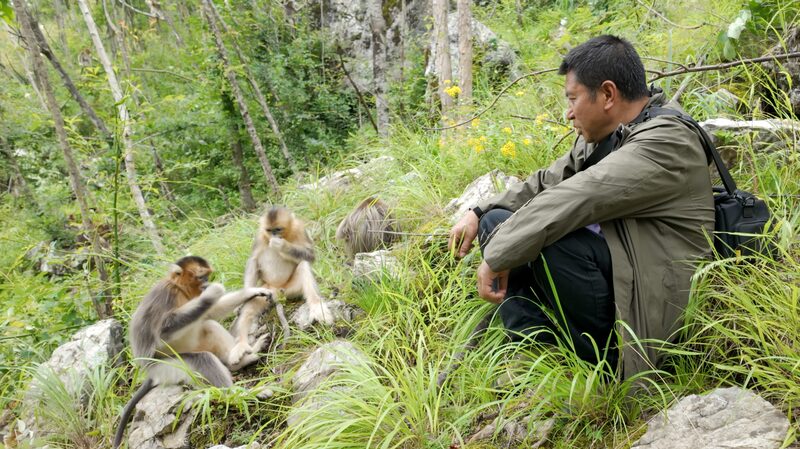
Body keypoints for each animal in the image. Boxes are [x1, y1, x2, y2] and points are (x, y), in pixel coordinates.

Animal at [112, 256, 272, 449]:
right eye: (201, 277)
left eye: (206, 276)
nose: (206, 284)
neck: (180, 290)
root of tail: (150, 374)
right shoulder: (167, 295)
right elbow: (162, 333)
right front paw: (213, 292)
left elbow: (210, 313)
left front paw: (251, 292)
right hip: (166, 367)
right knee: (202, 358)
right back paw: (239, 394)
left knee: (207, 324)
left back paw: (242, 359)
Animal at [228, 207, 333, 366]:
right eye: (269, 230)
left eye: (278, 229)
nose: (274, 235)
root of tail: (277, 293)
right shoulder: (260, 235)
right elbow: (253, 260)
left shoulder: (299, 228)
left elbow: (310, 256)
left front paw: (282, 245)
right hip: (267, 290)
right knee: (251, 304)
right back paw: (241, 344)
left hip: (290, 290)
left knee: (303, 265)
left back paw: (317, 307)